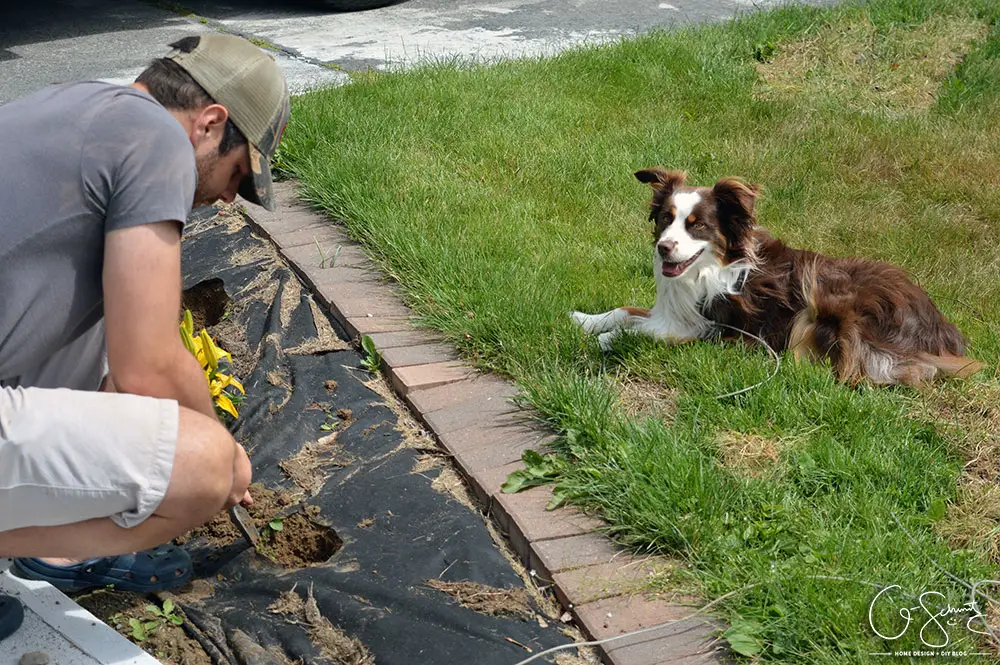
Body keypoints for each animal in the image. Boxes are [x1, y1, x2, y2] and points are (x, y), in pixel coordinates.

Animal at [572, 167, 984, 384]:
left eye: (697, 225)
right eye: (664, 219)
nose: (664, 248)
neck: (709, 270)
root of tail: (942, 331)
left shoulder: (707, 328)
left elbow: (639, 330)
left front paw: (606, 339)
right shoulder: (672, 311)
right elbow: (627, 311)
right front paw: (585, 319)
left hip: (820, 298)